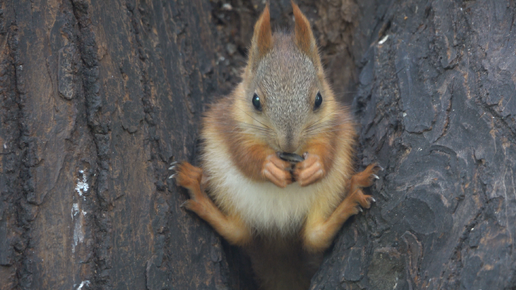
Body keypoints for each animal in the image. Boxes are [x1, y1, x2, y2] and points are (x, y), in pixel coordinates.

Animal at [171, 1, 380, 288]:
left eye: (319, 99)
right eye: (255, 101)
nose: (289, 145)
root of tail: (278, 236)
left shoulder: (336, 125)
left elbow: (328, 148)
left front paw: (314, 165)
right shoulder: (226, 123)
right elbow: (243, 154)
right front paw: (269, 166)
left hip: (331, 187)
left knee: (314, 236)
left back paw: (353, 194)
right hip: (224, 182)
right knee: (237, 231)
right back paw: (196, 191)